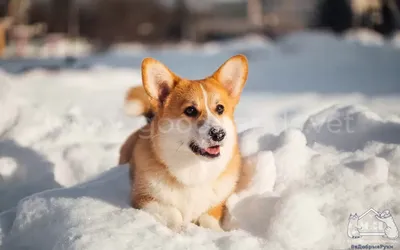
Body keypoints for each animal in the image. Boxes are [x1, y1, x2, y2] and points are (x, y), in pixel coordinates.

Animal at [119, 53, 248, 231]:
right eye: (190, 110)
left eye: (220, 109)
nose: (219, 134)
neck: (194, 171)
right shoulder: (142, 199)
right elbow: (174, 213)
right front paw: (179, 230)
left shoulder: (218, 203)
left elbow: (208, 217)